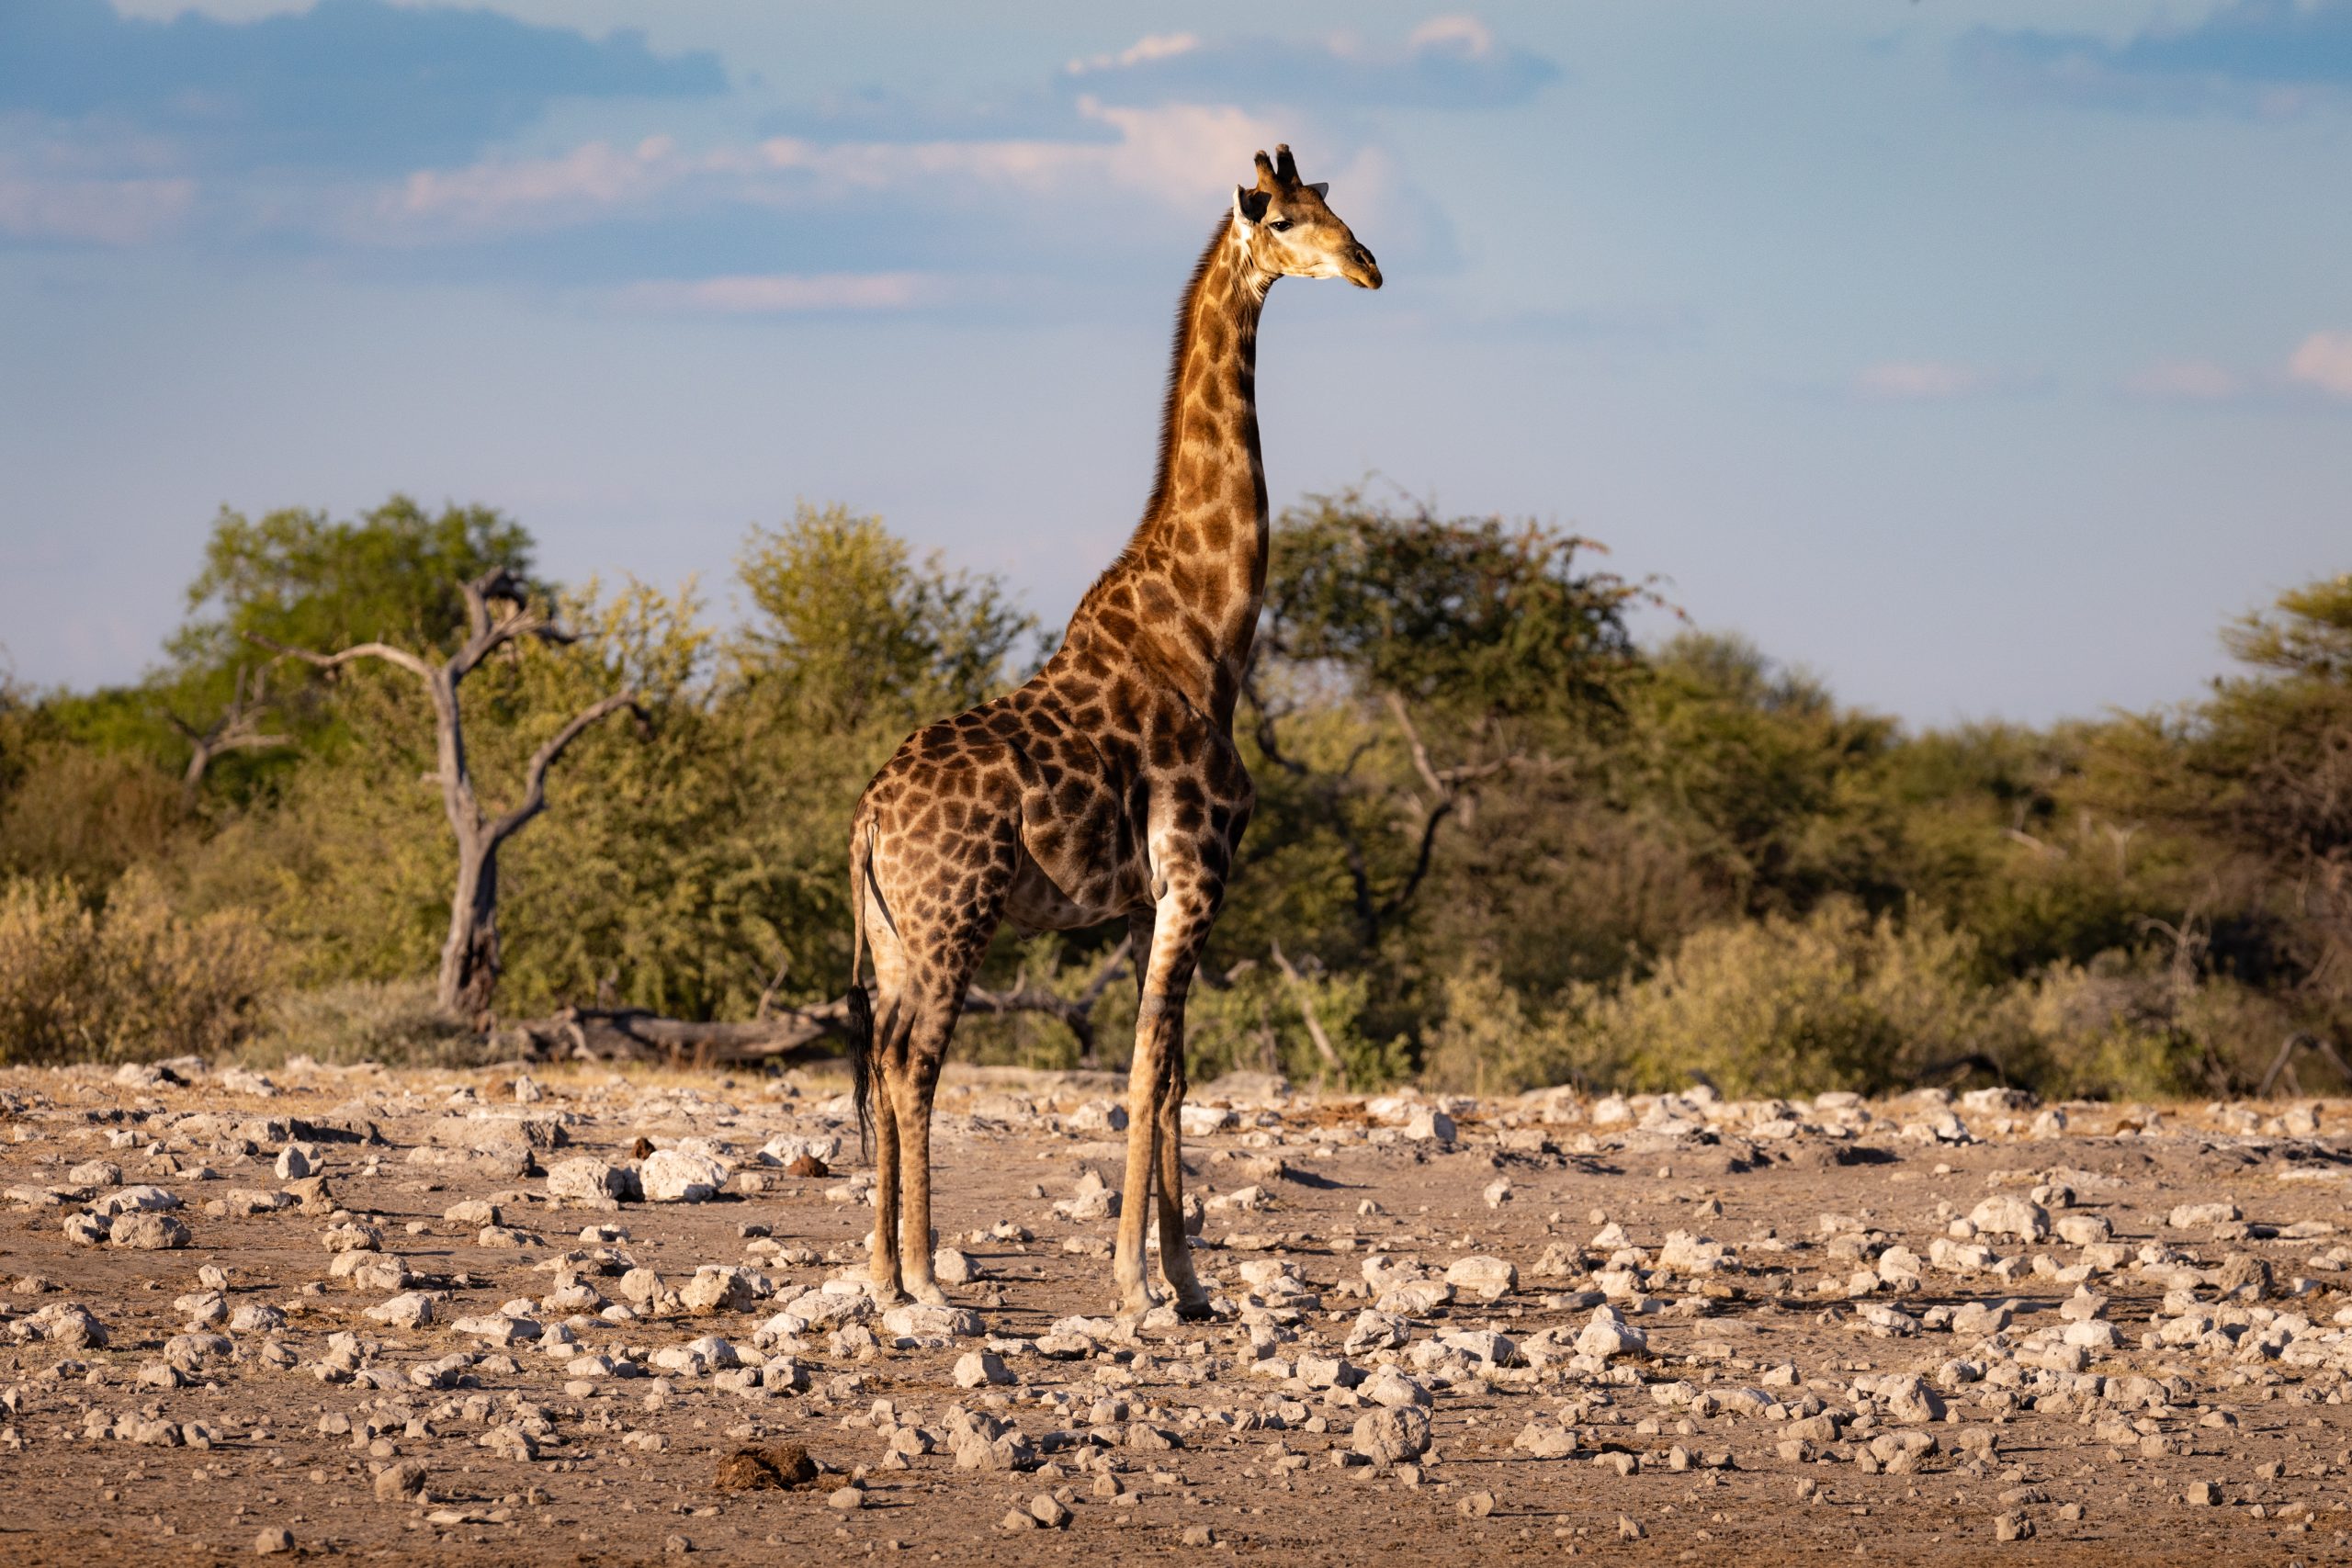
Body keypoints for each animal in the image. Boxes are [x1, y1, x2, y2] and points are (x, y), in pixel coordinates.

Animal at [844, 144, 1380, 1318]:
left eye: (1332, 204)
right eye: (1280, 220)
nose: (1368, 265)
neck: (1209, 636)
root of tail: (863, 823)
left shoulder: (1154, 895)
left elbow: (1172, 1069)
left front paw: (1189, 1279)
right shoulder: (1195, 870)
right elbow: (1143, 1062)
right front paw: (1135, 1281)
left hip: (898, 936)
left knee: (880, 1055)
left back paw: (881, 1275)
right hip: (956, 919)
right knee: (913, 1064)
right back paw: (925, 1278)